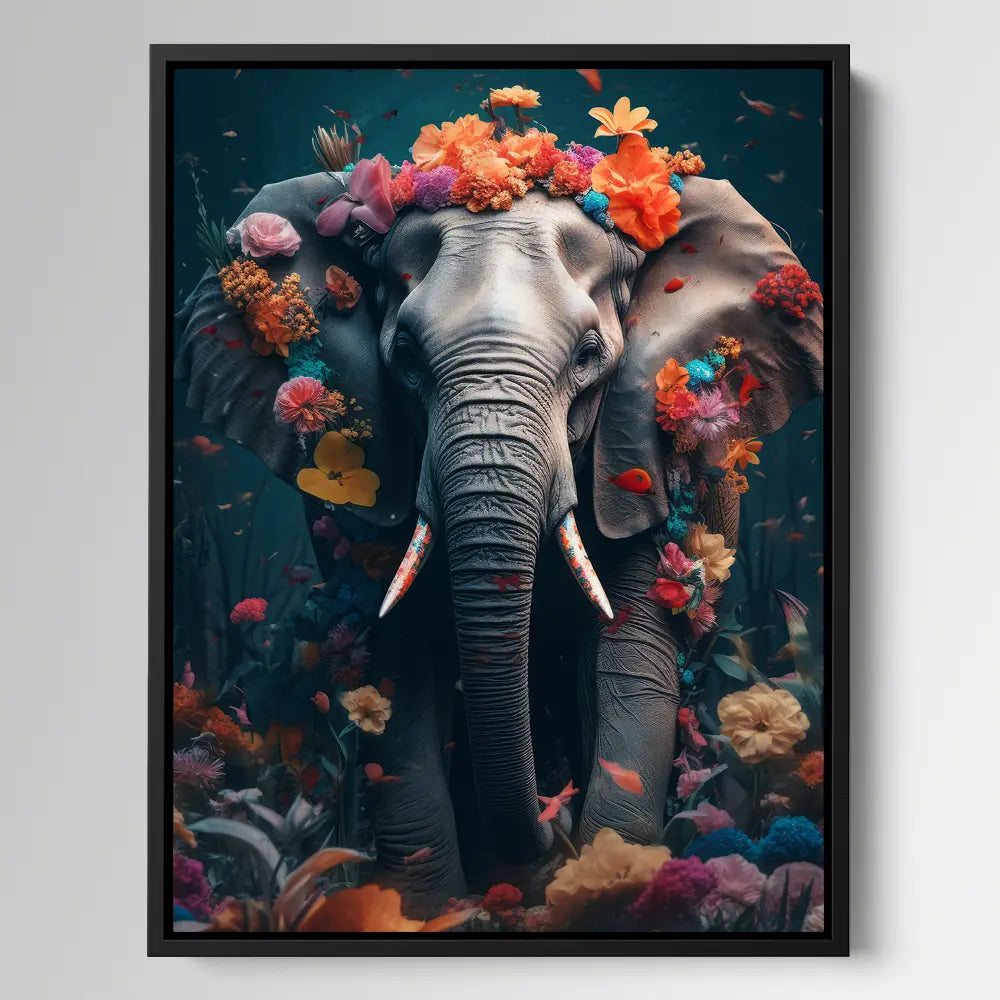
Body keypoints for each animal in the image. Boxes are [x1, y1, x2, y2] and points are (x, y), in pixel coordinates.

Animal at [176, 169, 823, 911]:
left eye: (589, 357)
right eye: (405, 358)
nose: (552, 808)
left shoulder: (649, 450)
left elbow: (632, 651)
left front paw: (610, 883)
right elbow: (396, 656)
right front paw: (420, 909)